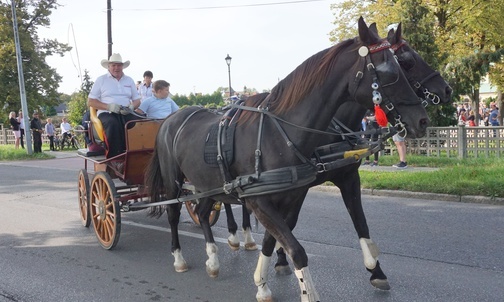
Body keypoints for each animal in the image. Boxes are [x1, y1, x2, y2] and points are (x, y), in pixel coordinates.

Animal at [145, 17, 430, 300]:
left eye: (403, 63)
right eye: (396, 68)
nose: (422, 120)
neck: (280, 132)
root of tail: (172, 117)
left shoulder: (298, 191)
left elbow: (278, 237)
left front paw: (262, 281)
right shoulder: (259, 200)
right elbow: (296, 248)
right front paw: (300, 287)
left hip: (207, 184)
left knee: (204, 213)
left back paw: (214, 259)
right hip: (175, 181)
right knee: (173, 213)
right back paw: (180, 257)